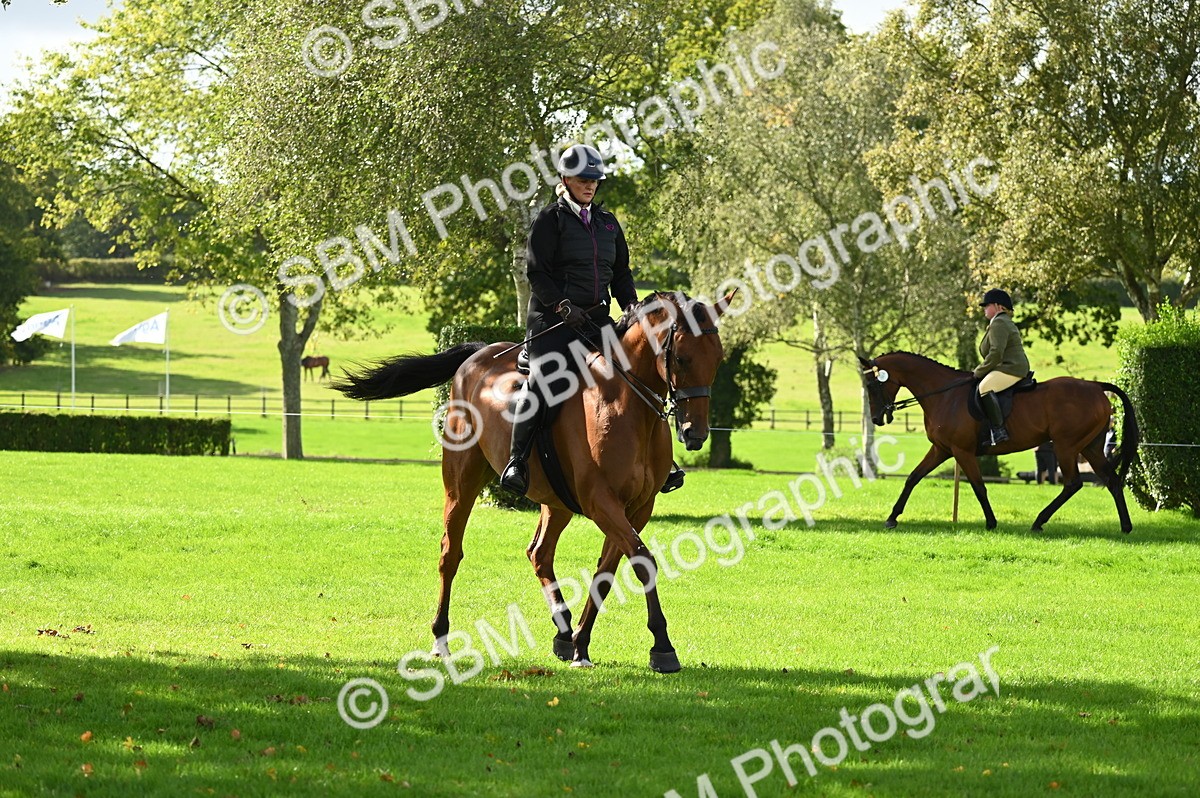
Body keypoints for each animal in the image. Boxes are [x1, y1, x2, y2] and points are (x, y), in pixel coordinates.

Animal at [335, 292, 733, 671]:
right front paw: (662, 647)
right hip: (462, 484)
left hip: (556, 501)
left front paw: (580, 645)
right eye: (682, 359)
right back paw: (441, 638)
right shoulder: (601, 502)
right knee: (451, 553)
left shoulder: (637, 508)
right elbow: (643, 561)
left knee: (539, 553)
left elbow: (608, 571)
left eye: (717, 358)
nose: (695, 434)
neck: (625, 405)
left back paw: (563, 631)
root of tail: (479, 355)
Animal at [857, 352, 1139, 533]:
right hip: (1090, 447)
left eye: (871, 385)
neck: (945, 395)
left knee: (1072, 484)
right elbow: (913, 478)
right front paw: (892, 518)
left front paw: (991, 523)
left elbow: (979, 486)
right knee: (1112, 481)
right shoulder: (941, 450)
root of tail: (1095, 387)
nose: (877, 418)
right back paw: (1125, 527)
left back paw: (1038, 522)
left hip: (1066, 446)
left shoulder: (962, 451)